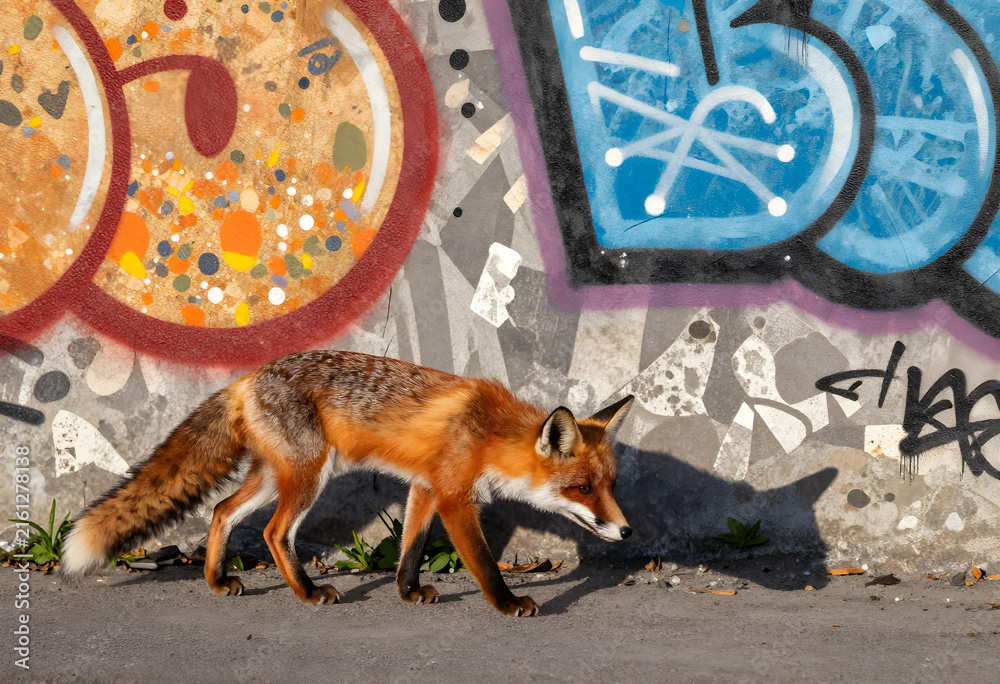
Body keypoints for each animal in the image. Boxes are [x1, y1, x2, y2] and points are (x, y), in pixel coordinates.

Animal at [60, 350, 635, 617]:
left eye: (611, 485)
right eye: (583, 489)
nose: (628, 532)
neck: (489, 432)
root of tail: (248, 377)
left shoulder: (425, 487)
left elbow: (410, 548)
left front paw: (407, 592)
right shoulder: (454, 496)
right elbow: (485, 564)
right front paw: (509, 604)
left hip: (273, 477)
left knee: (222, 510)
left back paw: (217, 581)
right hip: (308, 476)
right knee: (273, 534)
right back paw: (309, 592)